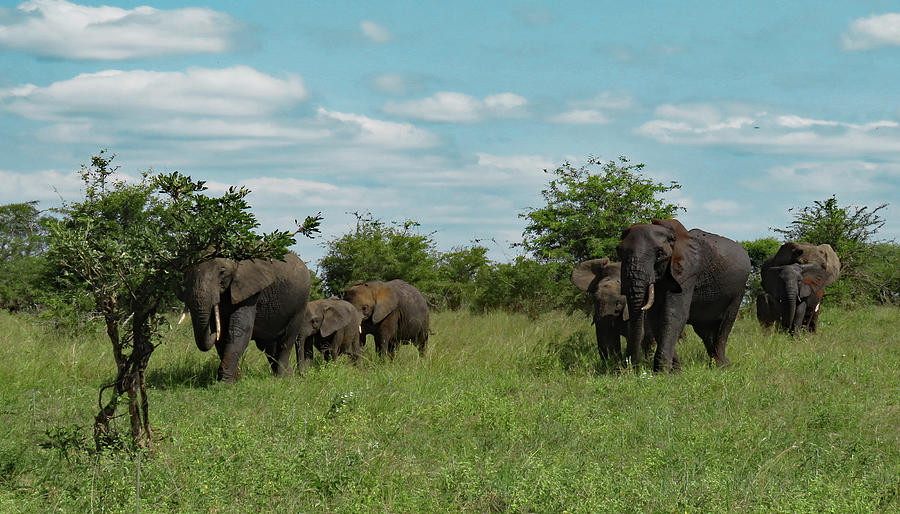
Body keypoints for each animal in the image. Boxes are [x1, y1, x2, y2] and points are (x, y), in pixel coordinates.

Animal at [179, 251, 312, 380]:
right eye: (186, 272)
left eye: (222, 272)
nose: (213, 333)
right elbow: (222, 336)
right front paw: (236, 378)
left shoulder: (250, 289)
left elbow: (240, 330)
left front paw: (224, 382)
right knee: (268, 346)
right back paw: (288, 374)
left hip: (301, 304)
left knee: (287, 340)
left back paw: (283, 378)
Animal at [620, 218, 752, 370]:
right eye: (619, 251)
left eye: (660, 254)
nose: (631, 366)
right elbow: (656, 317)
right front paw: (676, 369)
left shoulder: (687, 272)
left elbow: (674, 314)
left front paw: (662, 372)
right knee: (704, 330)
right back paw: (715, 362)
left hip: (739, 290)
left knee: (725, 324)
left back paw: (723, 365)